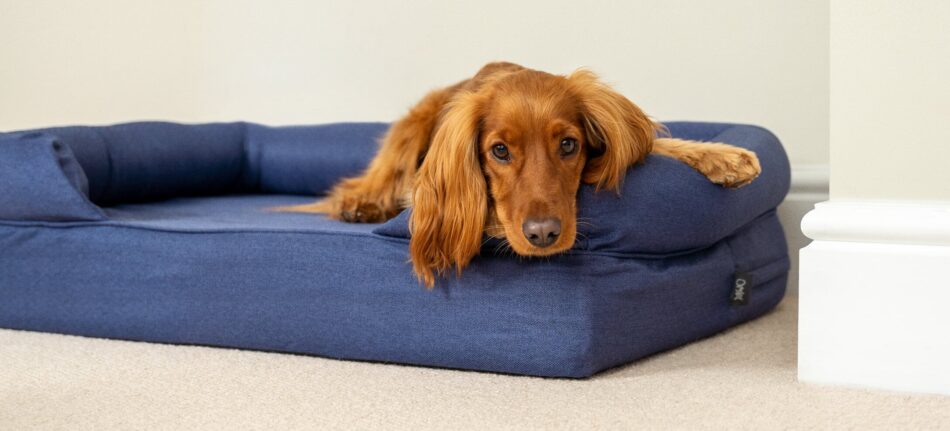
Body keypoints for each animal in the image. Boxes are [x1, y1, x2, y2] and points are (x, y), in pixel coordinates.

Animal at [278, 61, 764, 286]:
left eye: (568, 145)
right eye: (499, 151)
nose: (543, 234)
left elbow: (655, 143)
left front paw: (724, 156)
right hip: (412, 126)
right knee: (367, 182)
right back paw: (360, 203)